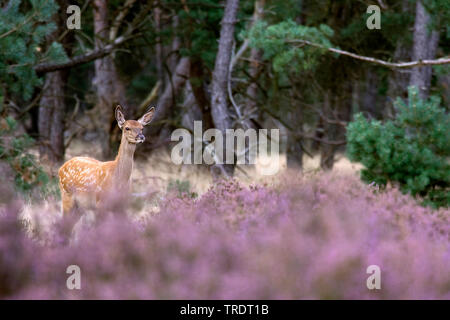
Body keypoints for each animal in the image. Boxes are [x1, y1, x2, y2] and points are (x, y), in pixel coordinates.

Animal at [57, 105, 156, 238]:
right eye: (127, 128)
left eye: (142, 128)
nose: (141, 137)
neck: (117, 179)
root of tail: (60, 168)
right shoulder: (100, 204)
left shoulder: (122, 206)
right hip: (67, 196)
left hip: (80, 207)